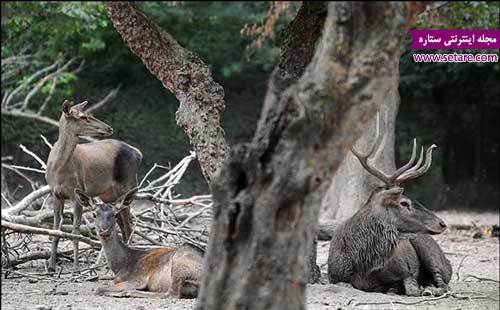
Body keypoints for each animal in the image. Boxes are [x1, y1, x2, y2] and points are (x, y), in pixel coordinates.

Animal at [45, 100, 143, 272]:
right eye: (83, 116)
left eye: (89, 114)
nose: (109, 128)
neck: (58, 168)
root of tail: (138, 154)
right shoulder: (55, 194)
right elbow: (56, 230)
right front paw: (51, 267)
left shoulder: (77, 192)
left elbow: (76, 230)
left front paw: (76, 266)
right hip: (109, 195)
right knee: (122, 224)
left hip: (127, 185)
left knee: (128, 226)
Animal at [74, 188, 203, 300]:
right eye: (94, 214)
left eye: (115, 214)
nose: (104, 230)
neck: (120, 266)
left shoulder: (137, 279)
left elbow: (99, 289)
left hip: (180, 261)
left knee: (172, 294)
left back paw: (128, 292)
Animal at [328, 120, 454, 296]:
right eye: (404, 202)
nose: (442, 223)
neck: (363, 265)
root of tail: (448, 263)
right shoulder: (334, 275)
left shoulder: (406, 271)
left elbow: (411, 289)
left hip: (430, 252)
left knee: (443, 284)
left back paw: (430, 289)